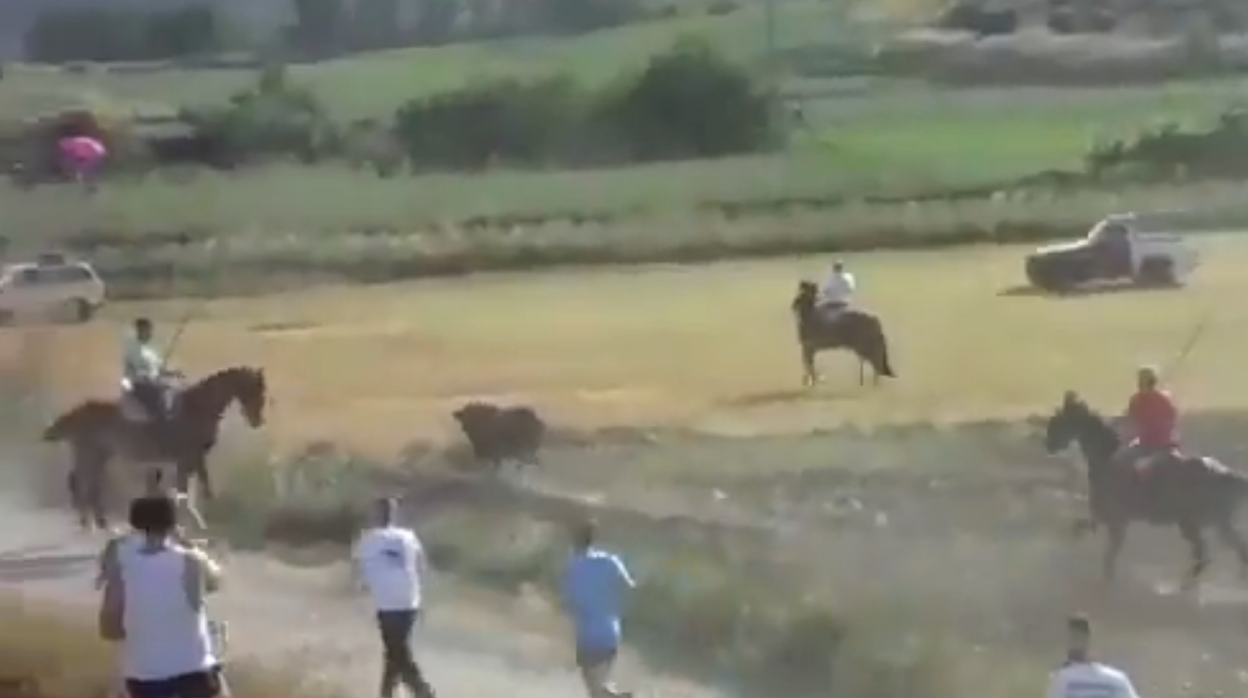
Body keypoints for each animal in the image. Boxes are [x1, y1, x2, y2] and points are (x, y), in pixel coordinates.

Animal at [44, 367, 268, 529]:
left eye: (263, 392)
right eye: (253, 390)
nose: (257, 421)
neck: (199, 409)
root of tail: (78, 411)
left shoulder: (192, 460)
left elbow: (195, 488)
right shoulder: (188, 458)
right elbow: (187, 490)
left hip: (99, 455)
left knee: (89, 484)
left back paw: (98, 522)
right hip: (89, 453)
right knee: (82, 482)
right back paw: (88, 522)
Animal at [1043, 389, 1248, 591]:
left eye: (1058, 420)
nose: (1049, 445)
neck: (1107, 461)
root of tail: (1224, 472)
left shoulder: (1114, 521)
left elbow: (1108, 555)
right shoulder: (1105, 518)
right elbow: (1080, 531)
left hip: (1192, 523)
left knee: (1204, 554)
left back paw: (1187, 584)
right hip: (1218, 523)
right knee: (1233, 551)